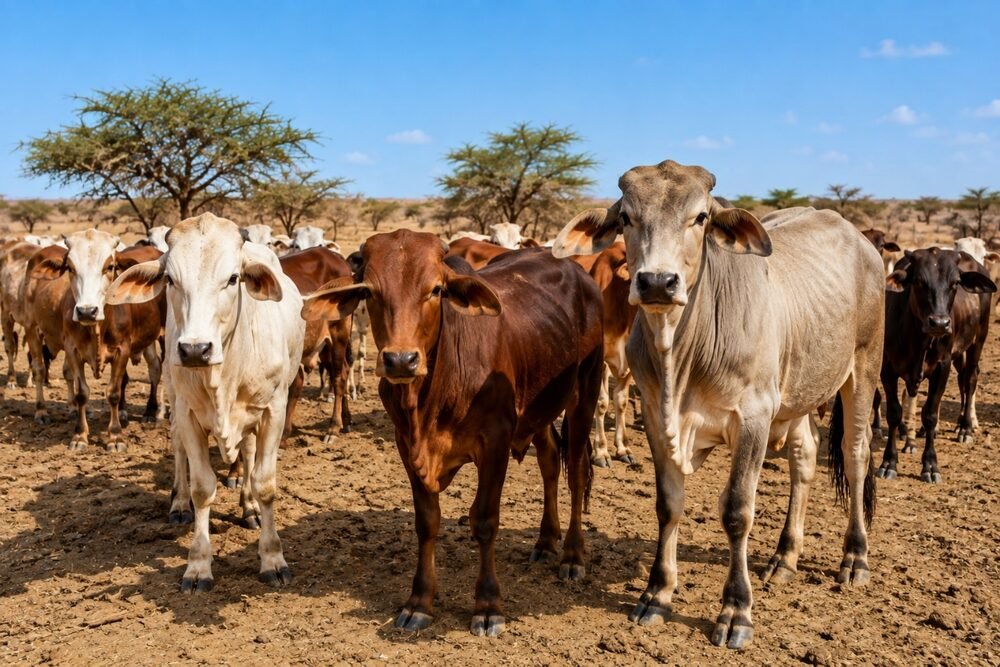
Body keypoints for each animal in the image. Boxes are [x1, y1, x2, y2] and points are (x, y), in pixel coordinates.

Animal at [23, 231, 167, 450]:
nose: (87, 311)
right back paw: (42, 411)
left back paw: (151, 412)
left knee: (156, 368)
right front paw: (79, 435)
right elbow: (82, 392)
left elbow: (114, 392)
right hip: (32, 328)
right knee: (39, 369)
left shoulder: (123, 350)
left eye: (110, 266)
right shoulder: (73, 350)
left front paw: (115, 436)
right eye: (70, 268)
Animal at [107, 212, 305, 591]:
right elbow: (202, 487)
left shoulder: (273, 409)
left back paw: (248, 508)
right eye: (170, 279)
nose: (195, 349)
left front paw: (272, 557)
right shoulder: (187, 413)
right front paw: (198, 564)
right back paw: (179, 505)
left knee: (247, 452)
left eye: (233, 278)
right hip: (173, 394)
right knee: (179, 450)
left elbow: (264, 483)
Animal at [303, 230, 604, 636]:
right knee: (549, 460)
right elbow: (427, 522)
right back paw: (545, 541)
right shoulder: (406, 445)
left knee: (576, 471)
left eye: (435, 289)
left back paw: (573, 555)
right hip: (539, 409)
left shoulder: (495, 443)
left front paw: (488, 605)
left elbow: (485, 521)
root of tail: (577, 272)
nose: (401, 360)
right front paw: (419, 602)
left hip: (585, 391)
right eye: (371, 292)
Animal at [552, 160, 884, 650]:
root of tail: (857, 236)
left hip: (863, 367)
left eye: (701, 217)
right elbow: (668, 504)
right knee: (804, 457)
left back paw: (855, 558)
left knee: (855, 454)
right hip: (799, 394)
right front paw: (657, 593)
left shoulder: (753, 418)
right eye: (626, 217)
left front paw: (736, 610)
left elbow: (737, 512)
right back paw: (785, 557)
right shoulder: (657, 418)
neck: (682, 352)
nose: (656, 281)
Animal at [876, 248, 995, 483]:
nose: (940, 323)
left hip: (978, 340)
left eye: (955, 282)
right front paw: (889, 462)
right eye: (919, 281)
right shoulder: (887, 369)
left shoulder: (942, 367)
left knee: (970, 379)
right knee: (962, 378)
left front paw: (930, 465)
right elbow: (894, 413)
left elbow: (930, 414)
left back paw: (965, 428)